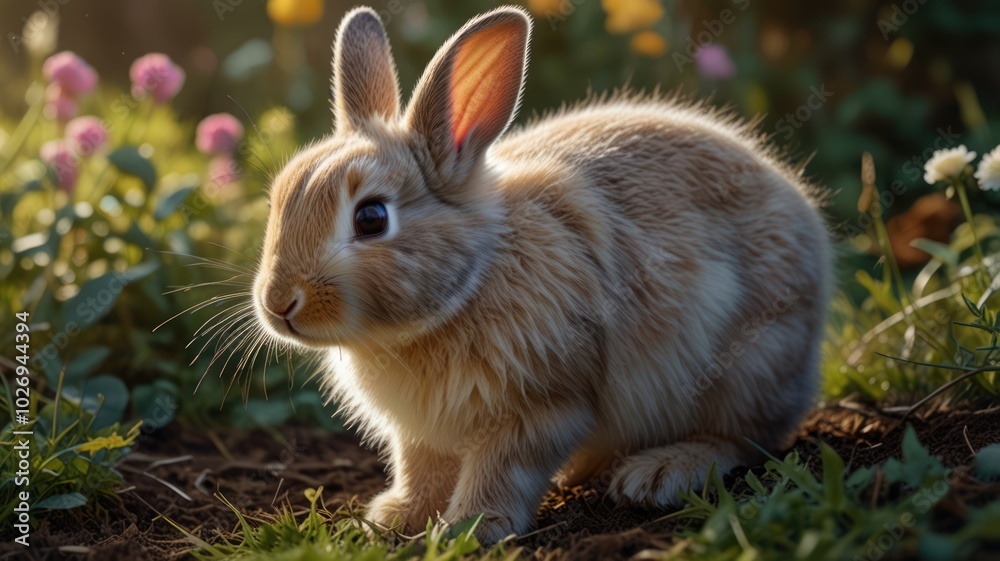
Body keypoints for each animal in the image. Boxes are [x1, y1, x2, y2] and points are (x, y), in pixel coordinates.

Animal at [251, 4, 831, 543]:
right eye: (279, 198)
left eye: (371, 218)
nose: (278, 304)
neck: (470, 282)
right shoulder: (420, 434)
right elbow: (422, 471)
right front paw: (395, 518)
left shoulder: (542, 405)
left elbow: (501, 470)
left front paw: (469, 528)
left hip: (750, 363)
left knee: (744, 438)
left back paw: (658, 472)